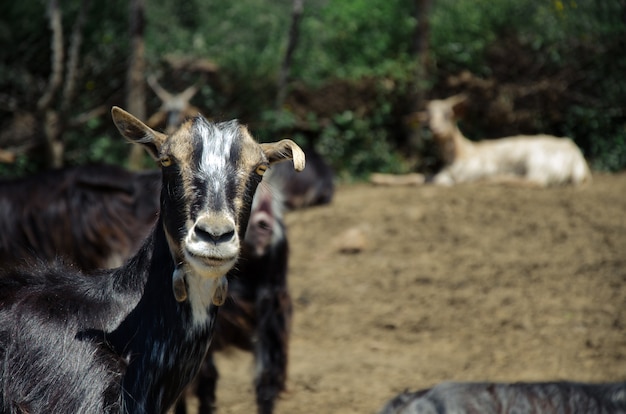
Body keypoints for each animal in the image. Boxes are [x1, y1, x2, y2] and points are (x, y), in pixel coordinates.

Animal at [422, 94, 588, 187]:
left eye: (447, 114)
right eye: (428, 115)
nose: (433, 128)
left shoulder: (469, 170)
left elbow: (439, 181)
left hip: (539, 161)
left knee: (536, 181)